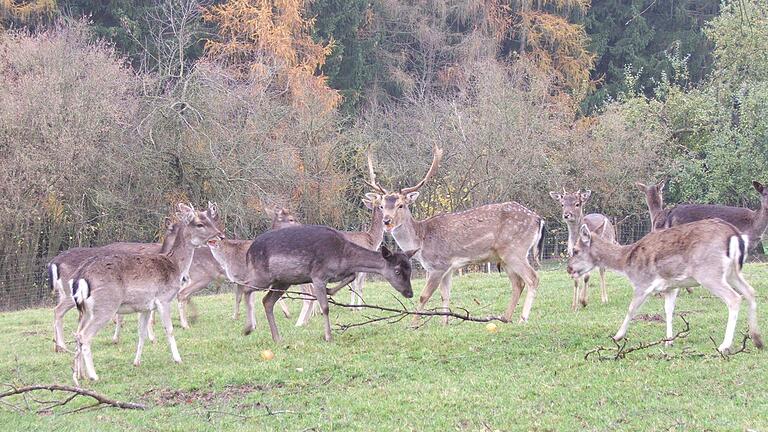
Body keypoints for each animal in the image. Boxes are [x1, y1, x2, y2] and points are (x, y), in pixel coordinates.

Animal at [69, 204, 222, 384]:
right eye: (200, 224)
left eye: (211, 219)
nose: (221, 235)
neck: (175, 266)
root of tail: (81, 276)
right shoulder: (163, 299)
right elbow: (169, 329)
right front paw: (178, 359)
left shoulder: (145, 307)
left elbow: (141, 334)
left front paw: (136, 362)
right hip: (105, 305)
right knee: (84, 336)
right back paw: (94, 375)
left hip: (84, 310)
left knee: (77, 334)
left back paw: (80, 375)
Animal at [207, 224, 416, 342]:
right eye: (397, 271)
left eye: (410, 270)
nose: (409, 293)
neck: (343, 255)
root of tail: (250, 252)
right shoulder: (318, 275)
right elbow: (324, 307)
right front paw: (328, 336)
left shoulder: (339, 273)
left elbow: (351, 277)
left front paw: (331, 291)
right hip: (262, 275)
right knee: (246, 288)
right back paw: (248, 328)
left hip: (283, 281)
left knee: (267, 301)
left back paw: (277, 338)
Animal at [368, 147, 544, 326]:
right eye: (381, 206)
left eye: (401, 205)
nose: (386, 221)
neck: (422, 240)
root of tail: (538, 219)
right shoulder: (448, 268)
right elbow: (445, 295)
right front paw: (444, 322)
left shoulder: (438, 265)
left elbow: (424, 295)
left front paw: (413, 324)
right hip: (504, 257)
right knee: (518, 283)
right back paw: (505, 318)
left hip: (515, 250)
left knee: (533, 278)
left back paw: (522, 319)